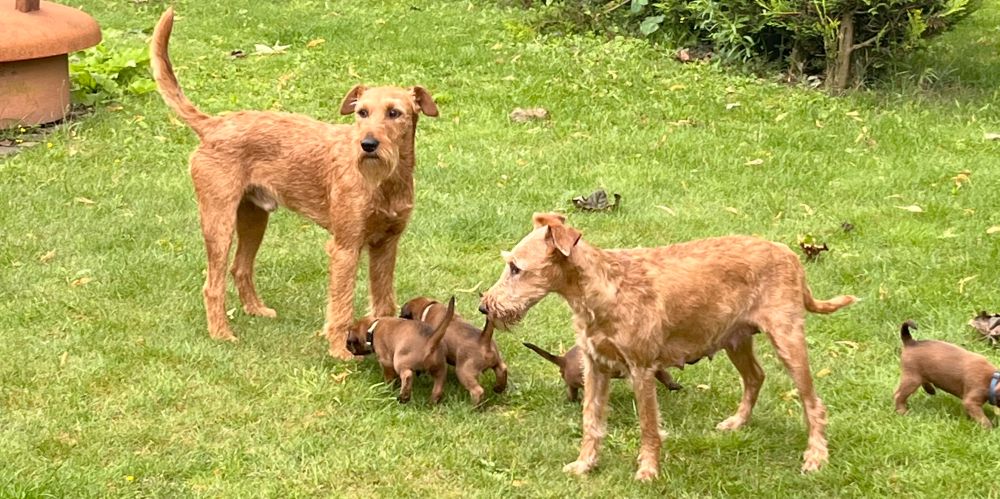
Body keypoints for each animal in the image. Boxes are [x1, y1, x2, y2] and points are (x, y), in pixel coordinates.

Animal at [151, 8, 438, 360]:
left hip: (254, 217)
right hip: (219, 222)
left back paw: (257, 310)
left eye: (395, 113)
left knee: (240, 268)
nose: (368, 144)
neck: (385, 181)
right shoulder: (345, 248)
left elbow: (383, 301)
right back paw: (221, 334)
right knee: (212, 284)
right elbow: (341, 305)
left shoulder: (386, 245)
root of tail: (213, 125)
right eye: (362, 112)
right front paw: (339, 351)